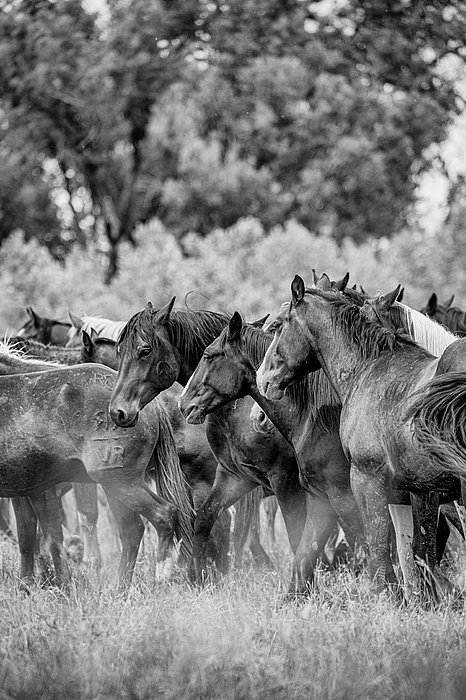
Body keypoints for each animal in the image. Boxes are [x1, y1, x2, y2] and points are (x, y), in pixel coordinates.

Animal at [0, 346, 193, 590]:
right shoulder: (24, 491)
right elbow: (27, 539)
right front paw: (27, 587)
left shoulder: (41, 490)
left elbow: (52, 537)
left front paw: (62, 585)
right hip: (117, 486)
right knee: (132, 530)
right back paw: (120, 588)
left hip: (120, 483)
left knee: (163, 515)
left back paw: (161, 578)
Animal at [109, 300, 307, 583]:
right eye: (119, 349)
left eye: (144, 350)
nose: (118, 412)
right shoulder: (230, 478)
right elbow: (203, 523)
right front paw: (200, 578)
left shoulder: (283, 479)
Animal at [256, 276, 466, 591]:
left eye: (277, 325)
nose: (262, 379)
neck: (369, 368)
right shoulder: (423, 491)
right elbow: (420, 554)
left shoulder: (367, 481)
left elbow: (380, 557)